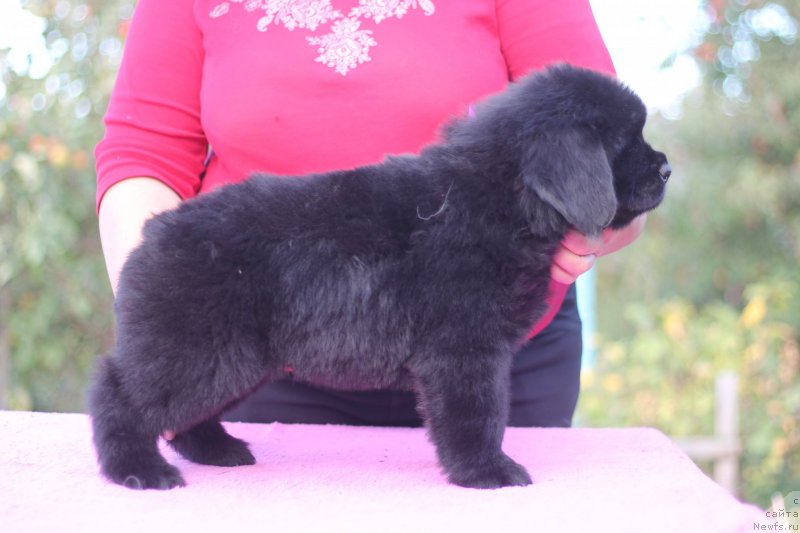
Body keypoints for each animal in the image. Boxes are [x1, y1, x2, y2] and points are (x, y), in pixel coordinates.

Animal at [90, 65, 672, 490]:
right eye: (625, 143)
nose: (667, 169)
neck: (500, 199)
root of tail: (155, 230)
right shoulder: (465, 350)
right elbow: (478, 414)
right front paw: (487, 472)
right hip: (197, 349)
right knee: (119, 393)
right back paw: (136, 470)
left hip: (235, 360)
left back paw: (217, 449)